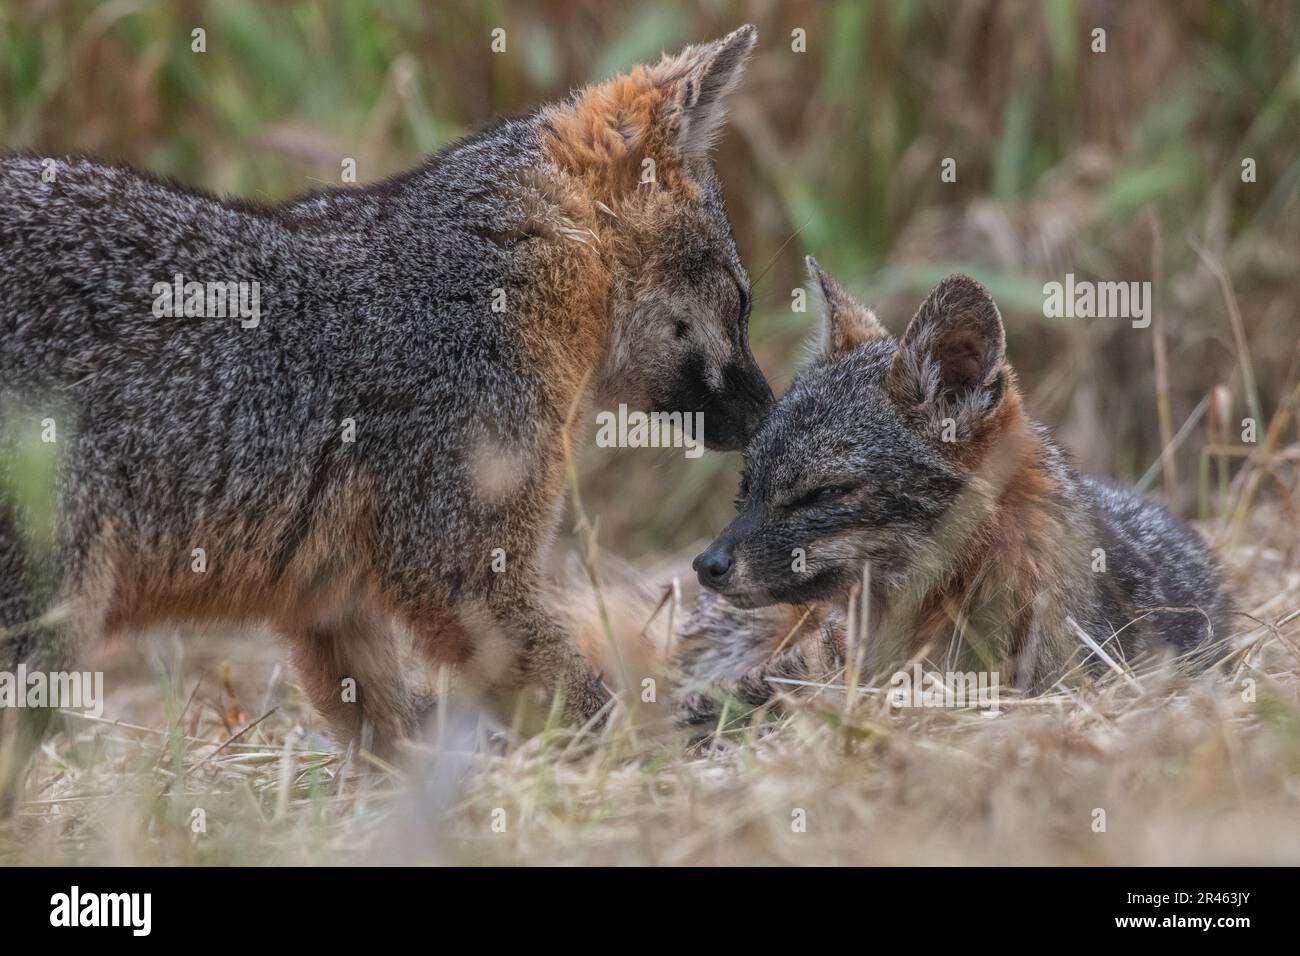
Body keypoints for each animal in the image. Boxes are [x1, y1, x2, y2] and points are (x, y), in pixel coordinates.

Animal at [0, 24, 769, 801]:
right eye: (742, 302)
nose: (769, 416)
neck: (481, 282)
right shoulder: (461, 572)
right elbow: (577, 698)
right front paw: (641, 768)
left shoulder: (333, 608)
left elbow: (388, 726)